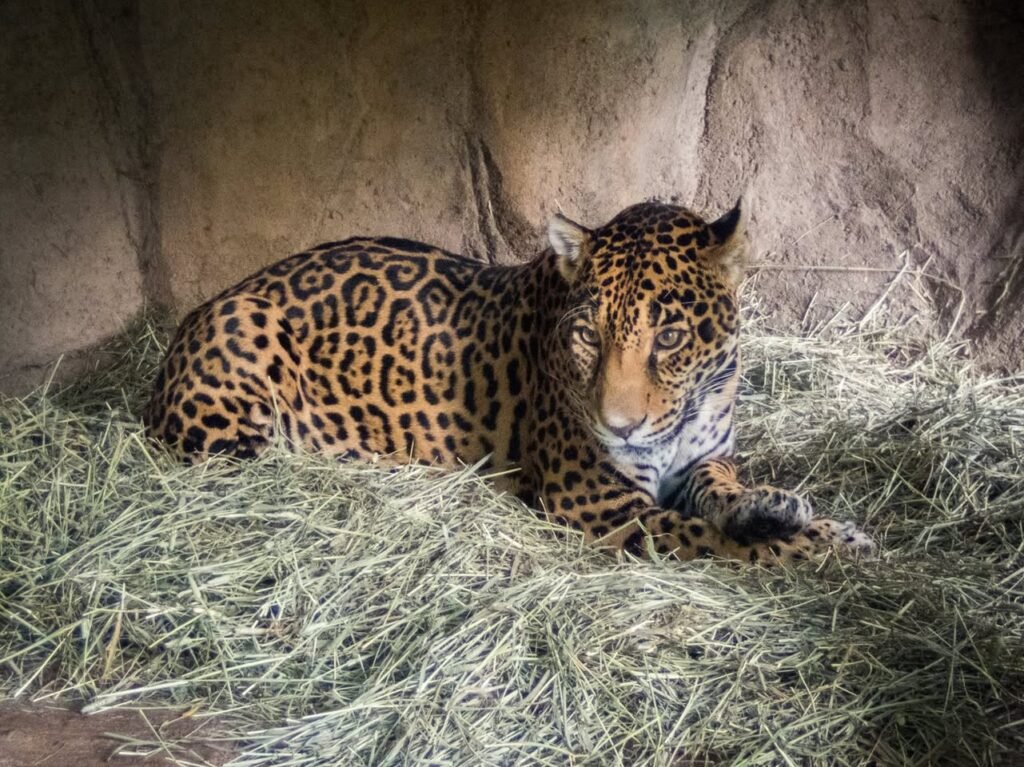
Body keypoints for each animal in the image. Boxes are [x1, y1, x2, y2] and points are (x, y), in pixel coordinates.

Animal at [144, 198, 873, 564]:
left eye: (669, 337)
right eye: (589, 337)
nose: (618, 428)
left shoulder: (704, 457)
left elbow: (723, 494)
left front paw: (776, 509)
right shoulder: (603, 507)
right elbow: (708, 537)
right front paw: (832, 548)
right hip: (244, 335)